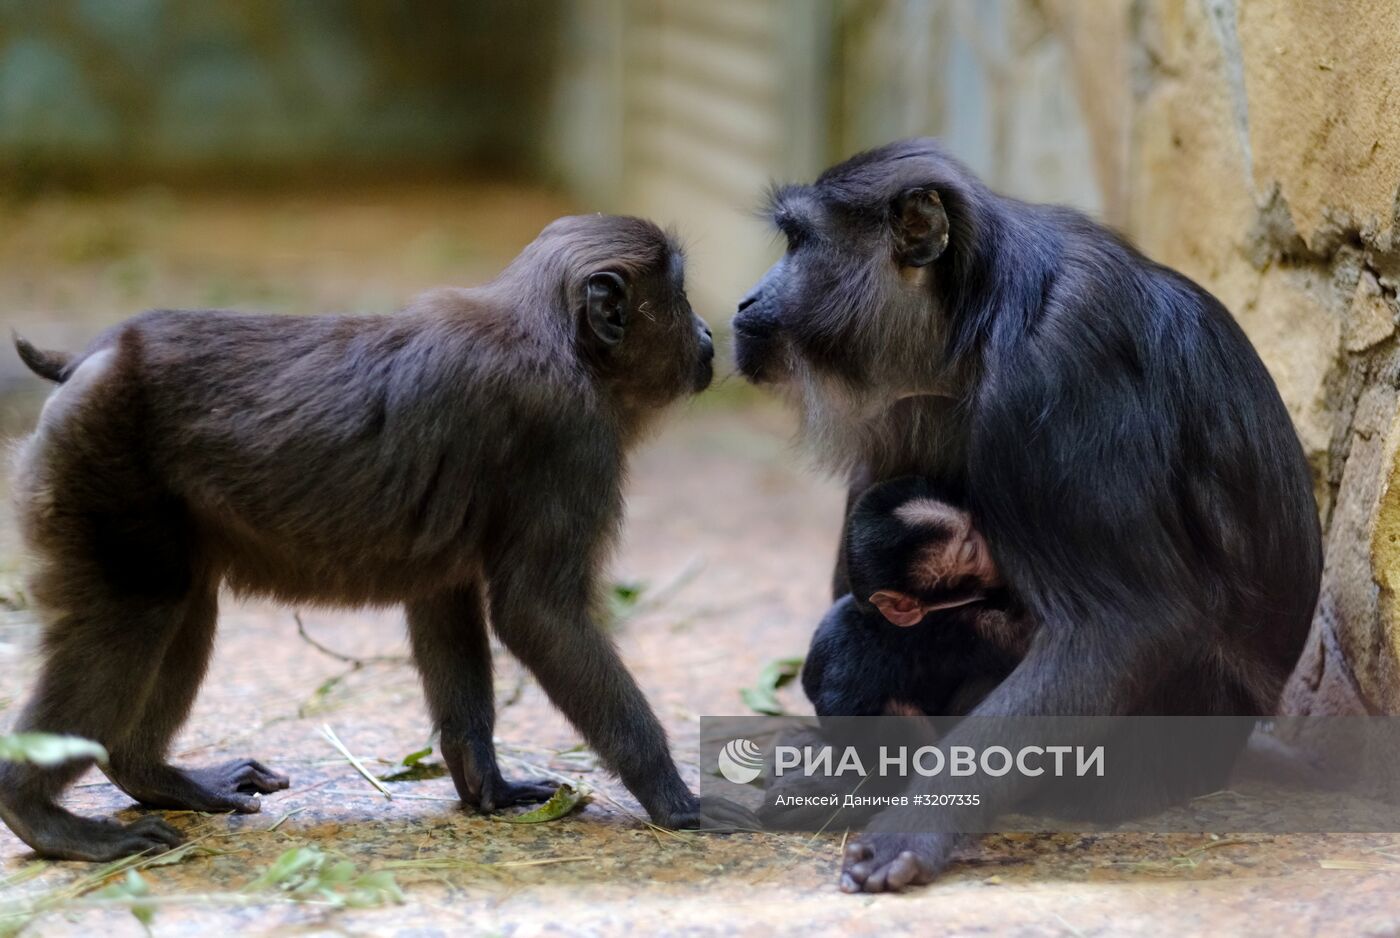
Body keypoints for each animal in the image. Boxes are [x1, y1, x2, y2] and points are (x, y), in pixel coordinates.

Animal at [2, 217, 756, 862]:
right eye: (679, 294)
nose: (707, 330)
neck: (557, 337)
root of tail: (97, 357)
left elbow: (447, 597)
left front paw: (488, 787)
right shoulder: (573, 439)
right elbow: (538, 613)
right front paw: (677, 800)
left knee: (180, 607)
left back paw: (153, 776)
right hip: (100, 473)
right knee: (139, 612)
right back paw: (39, 815)